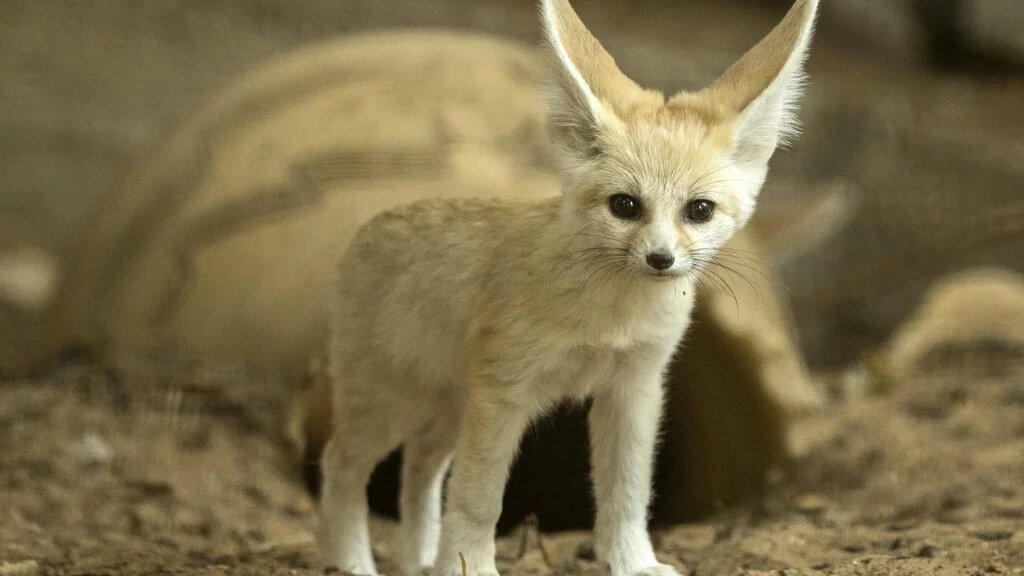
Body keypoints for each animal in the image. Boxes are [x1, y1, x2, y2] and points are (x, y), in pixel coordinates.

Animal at [319, 1, 818, 575]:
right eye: (625, 205)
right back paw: (354, 563)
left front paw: (633, 562)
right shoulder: (503, 391)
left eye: (699, 210)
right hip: (388, 406)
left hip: (443, 409)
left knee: (419, 471)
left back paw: (422, 561)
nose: (661, 259)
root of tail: (365, 230)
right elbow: (478, 499)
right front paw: (472, 565)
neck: (610, 316)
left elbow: (627, 491)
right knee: (340, 464)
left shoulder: (634, 387)